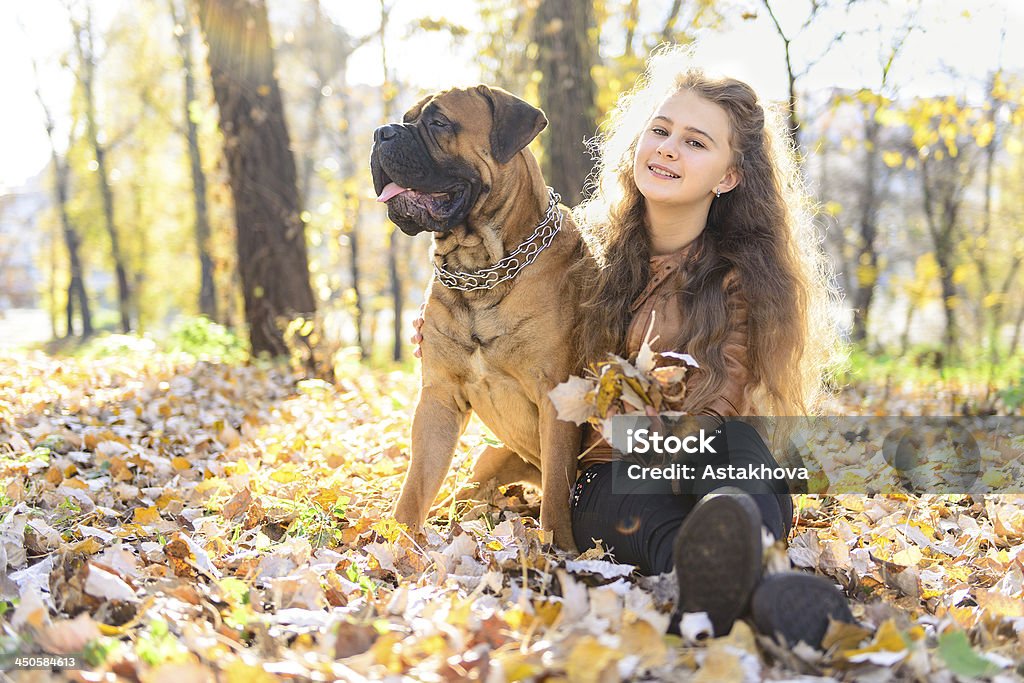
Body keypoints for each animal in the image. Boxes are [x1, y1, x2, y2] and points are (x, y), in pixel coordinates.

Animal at [370, 85, 581, 552]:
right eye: (406, 118)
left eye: (438, 122)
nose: (380, 133)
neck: (481, 272)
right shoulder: (439, 398)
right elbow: (416, 484)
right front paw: (397, 545)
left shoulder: (556, 399)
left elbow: (558, 491)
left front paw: (559, 550)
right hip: (490, 457)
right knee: (462, 496)